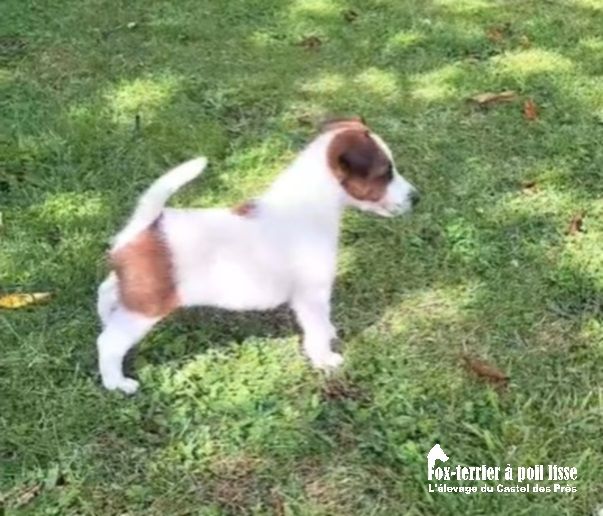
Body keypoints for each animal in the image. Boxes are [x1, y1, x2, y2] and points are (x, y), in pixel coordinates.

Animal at [98, 120, 420, 396]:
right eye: (385, 172)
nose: (416, 198)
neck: (311, 206)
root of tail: (145, 225)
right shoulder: (312, 295)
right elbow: (316, 329)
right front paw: (325, 360)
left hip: (132, 289)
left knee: (106, 291)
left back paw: (105, 316)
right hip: (146, 307)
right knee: (108, 343)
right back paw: (117, 383)